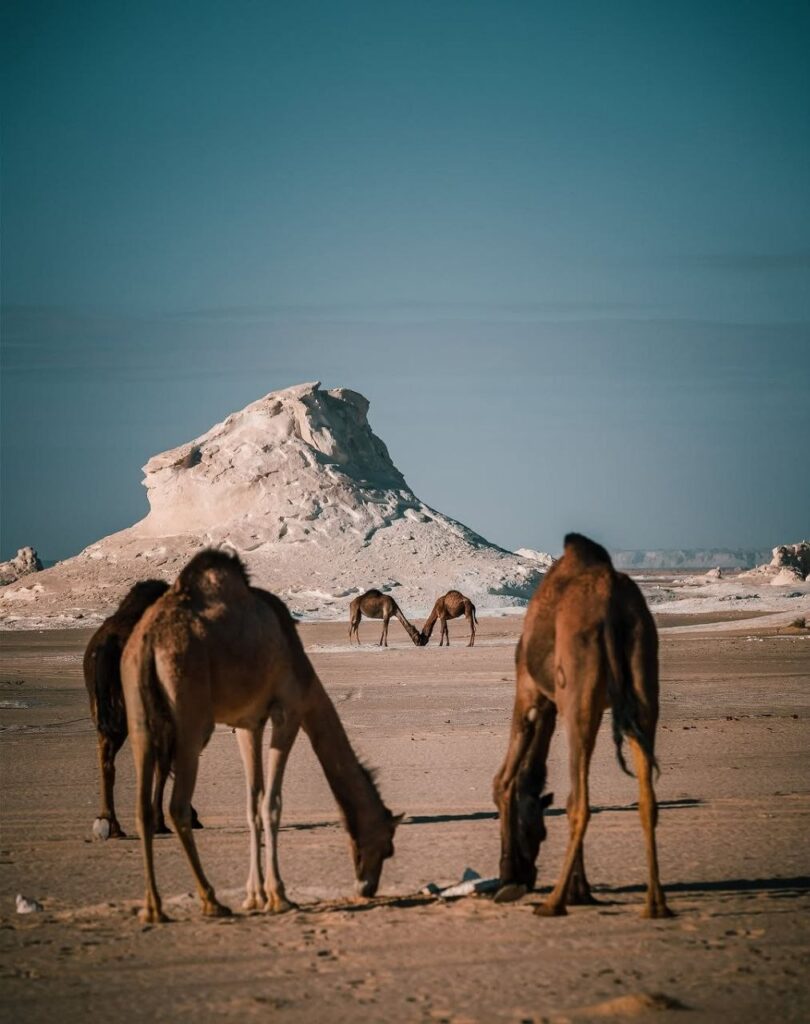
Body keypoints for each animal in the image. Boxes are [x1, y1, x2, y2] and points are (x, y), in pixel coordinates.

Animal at [83, 580, 201, 838]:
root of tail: (109, 645)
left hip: (107, 711)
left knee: (106, 758)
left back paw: (109, 823)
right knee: (158, 762)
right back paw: (156, 822)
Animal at [120, 550, 402, 923]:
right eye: (386, 845)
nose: (367, 888)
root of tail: (150, 641)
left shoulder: (247, 723)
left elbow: (252, 803)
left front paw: (254, 895)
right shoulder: (289, 712)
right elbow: (272, 803)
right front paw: (278, 895)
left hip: (138, 709)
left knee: (142, 809)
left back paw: (153, 908)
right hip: (190, 714)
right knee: (177, 805)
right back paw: (210, 900)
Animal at [492, 533, 671, 919]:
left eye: (537, 833)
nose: (526, 876)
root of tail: (612, 607)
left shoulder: (530, 692)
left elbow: (505, 781)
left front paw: (507, 878)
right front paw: (581, 890)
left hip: (579, 692)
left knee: (580, 800)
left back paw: (553, 903)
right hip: (643, 679)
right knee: (646, 798)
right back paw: (656, 904)